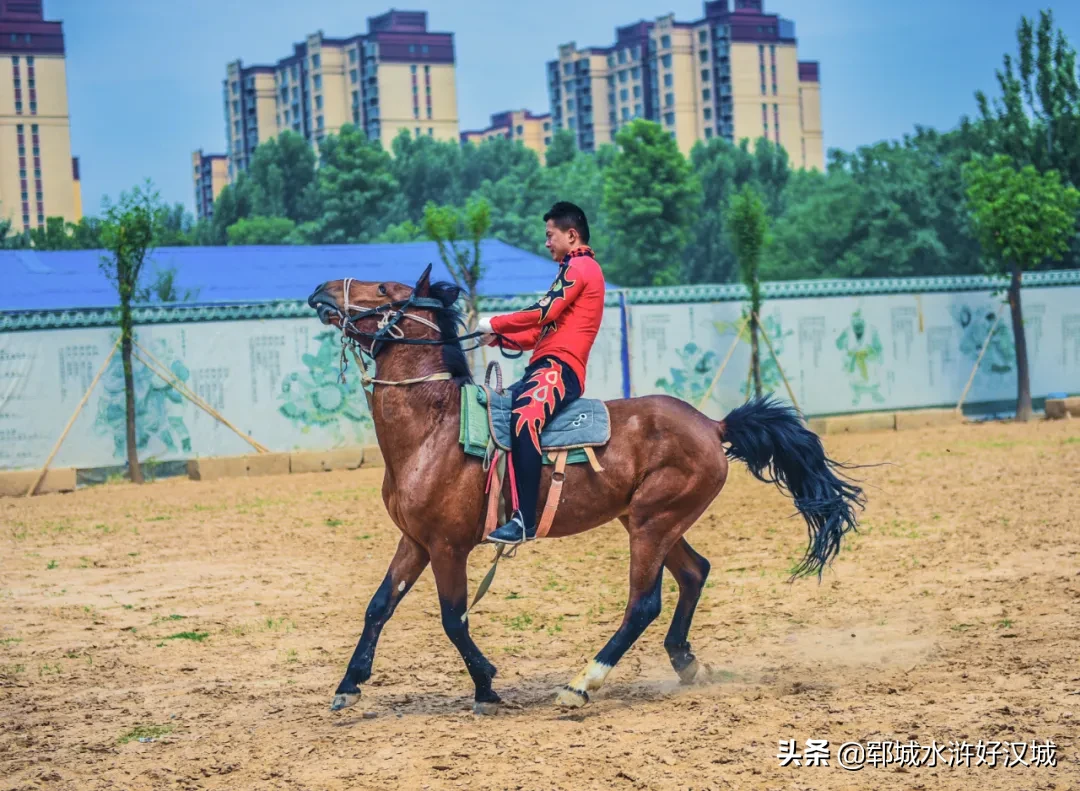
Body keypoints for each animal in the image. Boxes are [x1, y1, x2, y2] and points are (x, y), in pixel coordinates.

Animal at [308, 269, 864, 713]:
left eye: (384, 289)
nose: (321, 290)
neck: (435, 428)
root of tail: (712, 424)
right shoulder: (416, 541)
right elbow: (379, 606)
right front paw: (348, 685)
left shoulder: (448, 546)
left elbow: (452, 620)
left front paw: (486, 687)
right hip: (651, 522)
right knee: (694, 573)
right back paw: (684, 662)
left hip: (651, 526)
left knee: (643, 604)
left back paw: (581, 684)